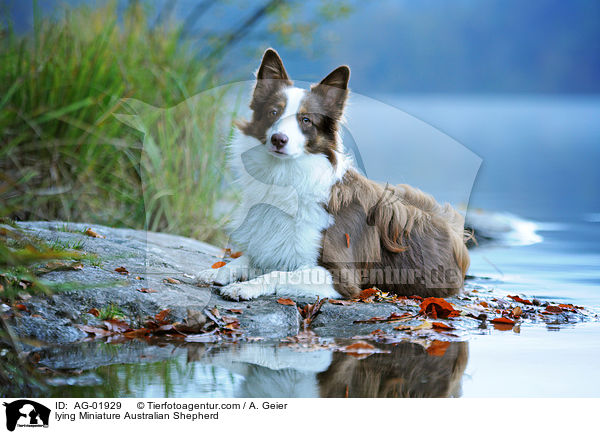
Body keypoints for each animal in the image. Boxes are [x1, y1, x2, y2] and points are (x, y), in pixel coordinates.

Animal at [197, 47, 468, 298]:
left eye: (306, 120)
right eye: (273, 112)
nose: (278, 139)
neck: (288, 177)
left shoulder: (341, 276)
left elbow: (279, 273)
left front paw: (245, 287)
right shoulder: (272, 248)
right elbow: (244, 260)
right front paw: (215, 272)